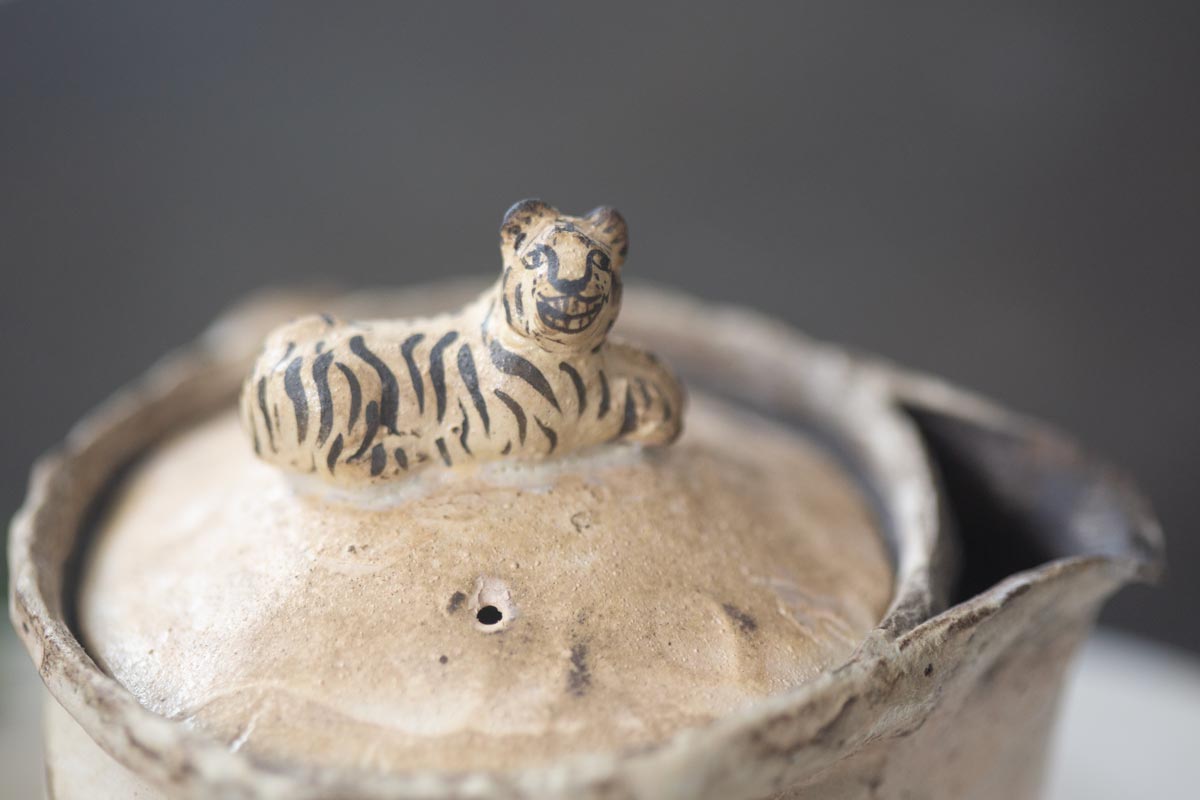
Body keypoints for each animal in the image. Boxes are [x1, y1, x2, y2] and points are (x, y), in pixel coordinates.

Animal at [240, 199, 684, 485]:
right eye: (537, 257)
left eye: (600, 259)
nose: (570, 286)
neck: (575, 356)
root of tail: (263, 365)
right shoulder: (534, 425)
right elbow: (615, 407)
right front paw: (657, 413)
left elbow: (648, 365)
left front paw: (669, 398)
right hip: (348, 393)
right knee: (339, 459)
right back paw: (402, 454)